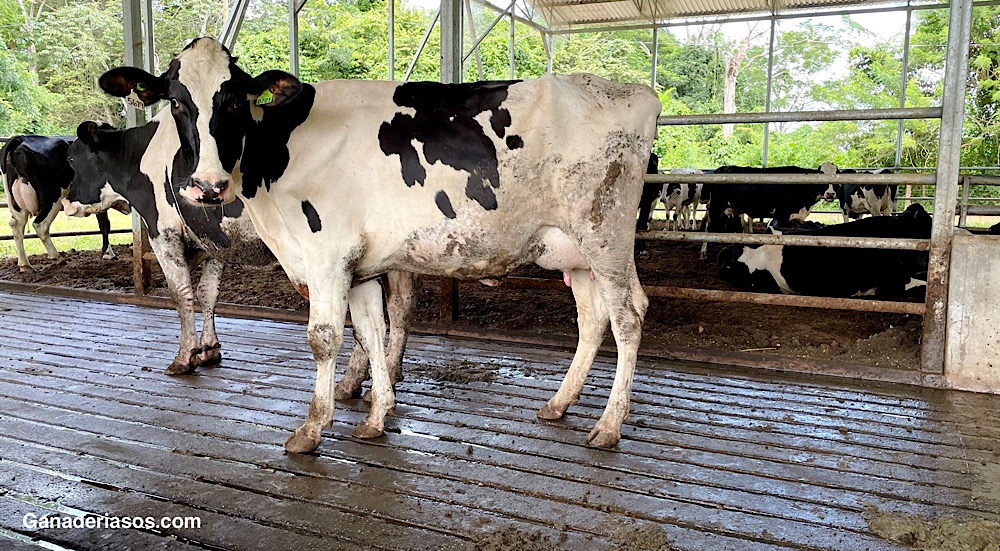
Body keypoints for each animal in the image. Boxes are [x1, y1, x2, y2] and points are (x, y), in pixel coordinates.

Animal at [62, 119, 416, 388]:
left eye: (72, 160)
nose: (66, 202)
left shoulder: (164, 233)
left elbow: (181, 295)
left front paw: (185, 357)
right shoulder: (214, 239)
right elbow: (208, 293)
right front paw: (209, 349)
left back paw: (352, 381)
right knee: (399, 307)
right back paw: (386, 374)